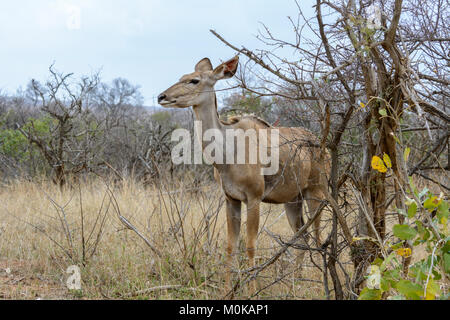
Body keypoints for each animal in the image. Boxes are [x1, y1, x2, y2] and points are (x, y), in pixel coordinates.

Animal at [158, 56, 330, 296]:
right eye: (182, 77)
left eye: (194, 80)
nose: (161, 97)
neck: (228, 153)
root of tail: (323, 147)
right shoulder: (231, 199)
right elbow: (231, 246)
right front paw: (226, 291)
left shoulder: (254, 198)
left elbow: (250, 246)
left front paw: (251, 290)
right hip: (293, 201)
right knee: (302, 236)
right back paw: (294, 283)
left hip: (316, 193)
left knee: (317, 236)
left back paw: (319, 284)